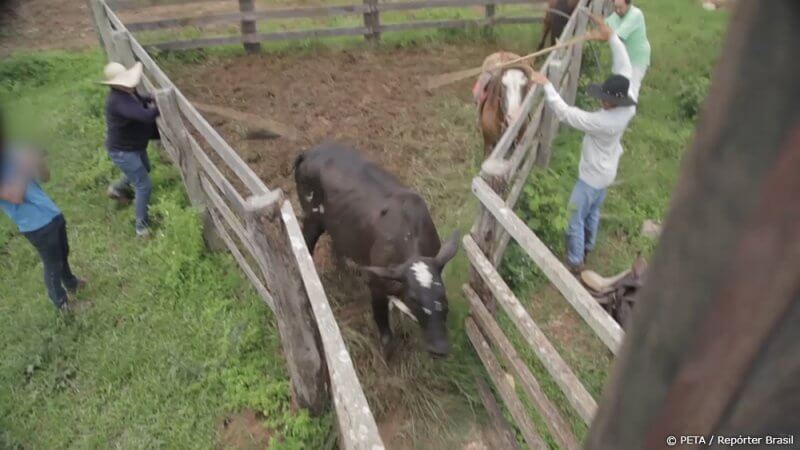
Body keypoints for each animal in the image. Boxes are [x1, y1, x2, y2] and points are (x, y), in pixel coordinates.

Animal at [294, 142, 460, 356]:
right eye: (414, 299)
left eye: (443, 296)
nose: (439, 348)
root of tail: (309, 152)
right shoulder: (376, 284)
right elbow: (386, 334)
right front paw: (387, 355)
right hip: (312, 218)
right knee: (305, 245)